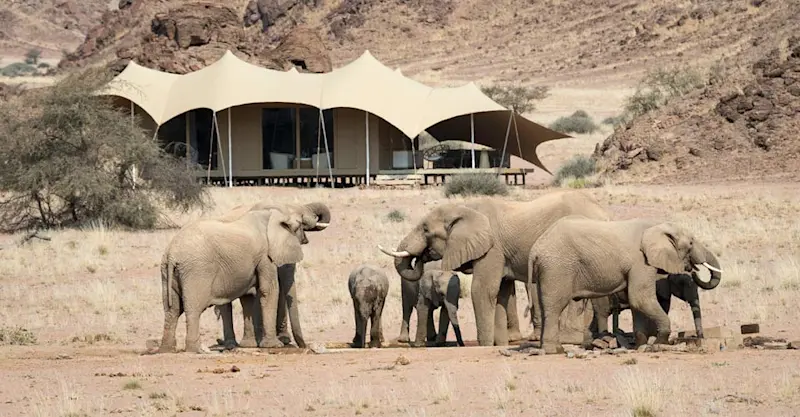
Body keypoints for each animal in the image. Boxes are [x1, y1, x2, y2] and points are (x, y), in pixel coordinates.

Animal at [158, 207, 307, 353]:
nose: (304, 347)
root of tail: (172, 253)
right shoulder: (265, 257)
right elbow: (269, 291)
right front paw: (274, 346)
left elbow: (247, 297)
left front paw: (249, 346)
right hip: (197, 271)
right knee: (193, 308)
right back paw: (197, 350)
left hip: (167, 272)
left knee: (172, 310)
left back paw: (167, 349)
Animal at [212, 201, 331, 350]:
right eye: (299, 224)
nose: (305, 346)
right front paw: (264, 341)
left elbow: (279, 289)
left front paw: (283, 340)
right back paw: (231, 344)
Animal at [379, 189, 610, 347]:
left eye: (426, 229)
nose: (420, 257)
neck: (464, 208)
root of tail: (604, 212)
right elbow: (501, 293)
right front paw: (499, 344)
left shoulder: (492, 249)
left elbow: (482, 290)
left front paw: (484, 344)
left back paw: (571, 338)